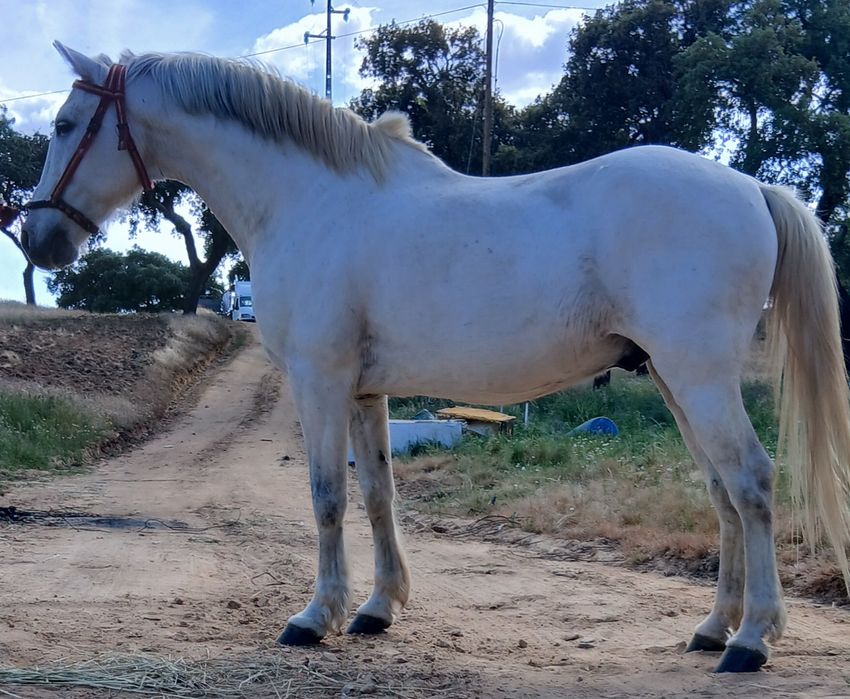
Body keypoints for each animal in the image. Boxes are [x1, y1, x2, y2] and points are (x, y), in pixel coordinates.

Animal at [21, 43, 850, 674]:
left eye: (65, 124)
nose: (36, 240)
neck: (307, 201)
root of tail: (750, 185)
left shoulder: (319, 381)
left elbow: (326, 497)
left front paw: (313, 616)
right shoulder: (364, 392)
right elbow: (377, 495)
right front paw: (376, 607)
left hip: (700, 377)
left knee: (753, 483)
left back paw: (751, 640)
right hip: (677, 380)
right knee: (722, 494)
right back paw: (713, 627)